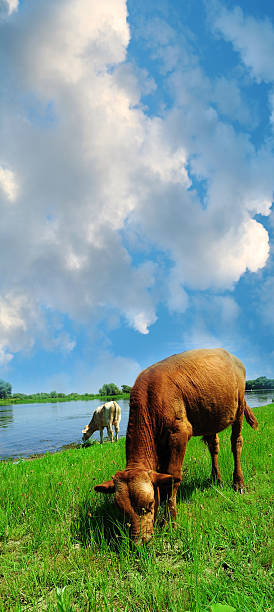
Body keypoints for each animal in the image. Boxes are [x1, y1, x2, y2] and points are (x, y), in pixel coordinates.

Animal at [94, 346, 256, 544]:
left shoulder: (179, 433)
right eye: (122, 511)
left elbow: (173, 475)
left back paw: (238, 483)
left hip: (238, 407)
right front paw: (164, 502)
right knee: (213, 447)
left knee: (236, 443)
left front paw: (170, 520)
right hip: (210, 415)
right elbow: (162, 474)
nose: (140, 541)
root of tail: (231, 356)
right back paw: (216, 478)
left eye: (149, 504)